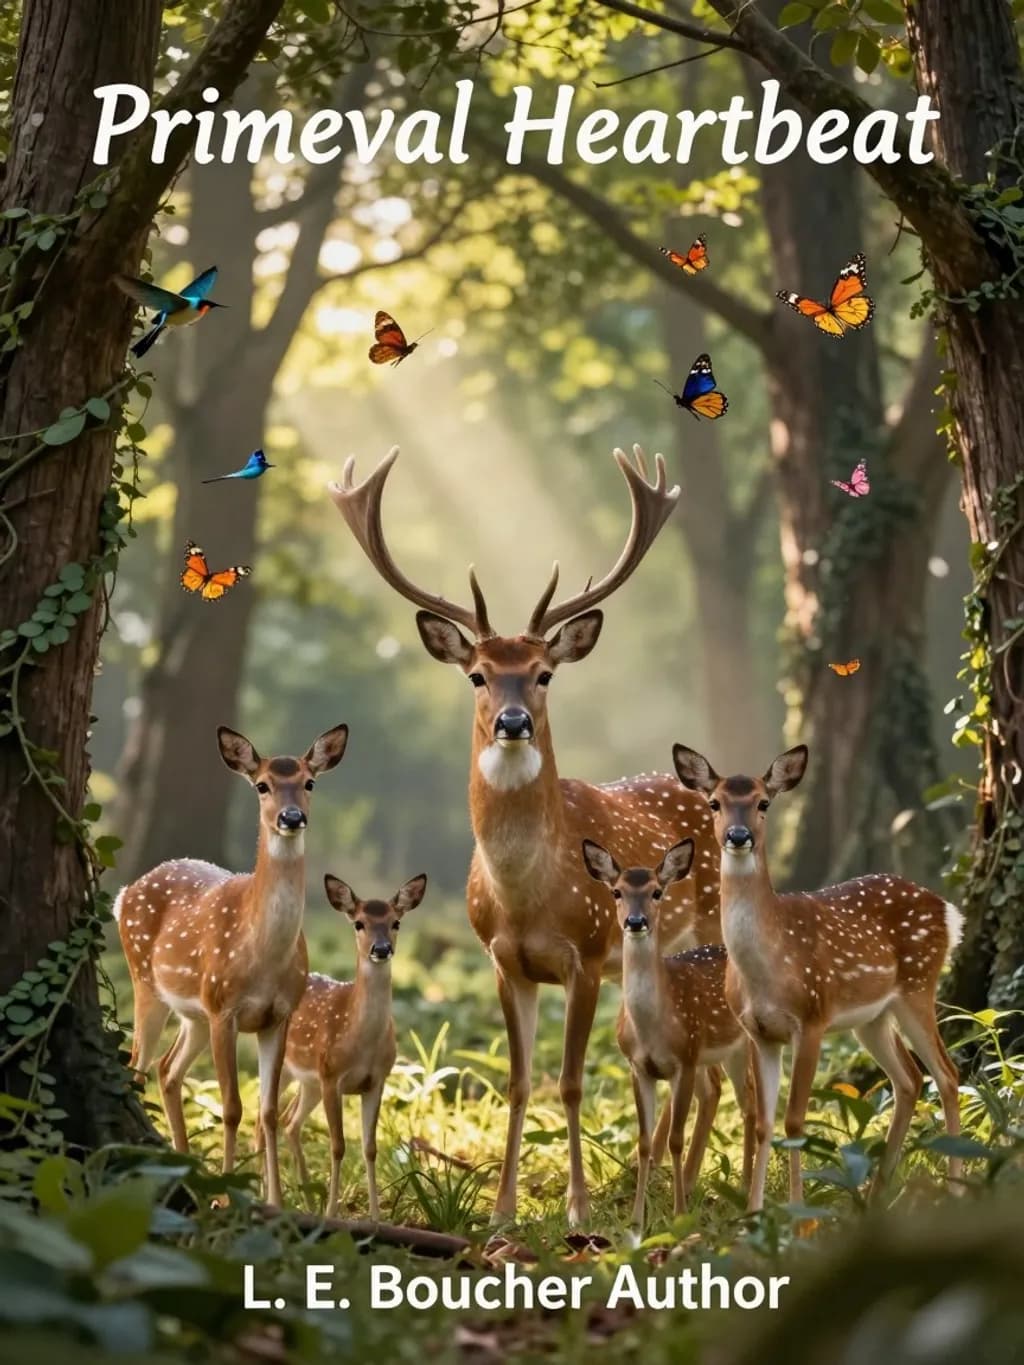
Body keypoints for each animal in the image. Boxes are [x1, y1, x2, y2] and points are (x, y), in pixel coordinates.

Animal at [114, 723, 349, 1207]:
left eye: (309, 782)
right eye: (262, 785)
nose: (292, 818)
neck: (263, 957)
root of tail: (124, 892)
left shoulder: (279, 1015)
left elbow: (268, 1111)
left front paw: (273, 1200)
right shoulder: (225, 1008)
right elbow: (232, 1106)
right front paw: (228, 1195)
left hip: (195, 1014)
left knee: (168, 1070)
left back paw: (185, 1167)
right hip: (148, 981)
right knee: (137, 1067)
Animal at [265, 871, 427, 1220]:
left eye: (396, 922)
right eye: (359, 923)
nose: (382, 949)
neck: (361, 1043)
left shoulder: (377, 1081)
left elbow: (370, 1147)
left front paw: (377, 1217)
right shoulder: (331, 1077)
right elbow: (338, 1145)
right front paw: (331, 1213)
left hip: (307, 1081)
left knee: (289, 1121)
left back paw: (306, 1199)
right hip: (291, 1069)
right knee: (266, 1118)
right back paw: (268, 1194)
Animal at [327, 443, 721, 1226]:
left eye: (543, 674)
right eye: (478, 675)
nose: (513, 722)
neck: (528, 896)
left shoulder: (587, 952)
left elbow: (567, 1082)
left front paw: (577, 1209)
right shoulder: (503, 960)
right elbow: (515, 1081)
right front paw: (503, 1209)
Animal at [582, 839, 754, 1228]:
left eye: (657, 892)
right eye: (616, 892)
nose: (635, 922)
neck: (653, 1029)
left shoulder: (685, 1060)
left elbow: (675, 1138)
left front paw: (678, 1214)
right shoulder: (637, 1067)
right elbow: (645, 1141)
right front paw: (636, 1219)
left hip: (749, 1041)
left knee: (753, 1105)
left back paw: (746, 1191)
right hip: (723, 1052)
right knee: (734, 1099)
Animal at [672, 741, 964, 1213]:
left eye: (764, 802)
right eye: (714, 802)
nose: (738, 836)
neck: (766, 970)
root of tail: (947, 910)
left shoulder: (811, 1018)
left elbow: (794, 1121)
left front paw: (798, 1212)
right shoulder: (759, 1032)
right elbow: (764, 1123)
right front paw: (753, 1212)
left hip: (918, 986)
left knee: (947, 1074)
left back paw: (955, 1190)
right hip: (872, 1018)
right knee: (909, 1079)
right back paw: (876, 1193)